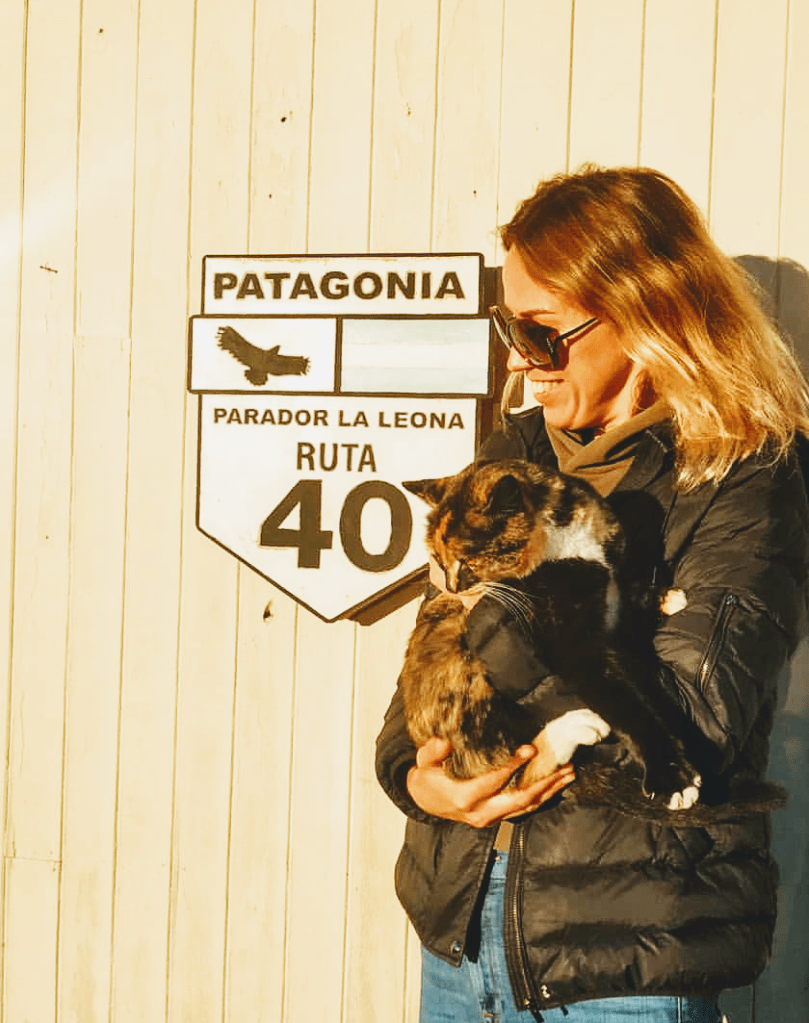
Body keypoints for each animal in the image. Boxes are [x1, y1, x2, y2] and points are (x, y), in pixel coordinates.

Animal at [400, 458, 784, 820]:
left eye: (466, 561)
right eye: (438, 562)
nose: (452, 588)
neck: (565, 539)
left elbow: (625, 590)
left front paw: (664, 597)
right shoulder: (572, 644)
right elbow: (623, 701)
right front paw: (670, 777)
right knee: (506, 772)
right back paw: (577, 726)